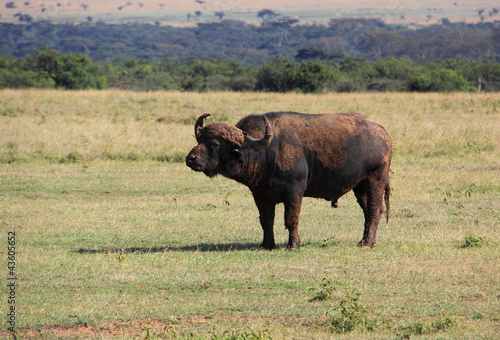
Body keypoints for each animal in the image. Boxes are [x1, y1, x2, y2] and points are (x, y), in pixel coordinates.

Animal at [186, 111, 392, 250]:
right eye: (199, 140)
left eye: (214, 144)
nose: (190, 159)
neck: (268, 152)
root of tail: (383, 134)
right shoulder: (260, 195)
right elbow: (266, 220)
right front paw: (266, 245)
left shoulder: (294, 192)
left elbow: (291, 218)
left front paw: (293, 244)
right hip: (360, 186)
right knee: (369, 211)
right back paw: (365, 240)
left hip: (376, 179)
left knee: (374, 210)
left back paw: (367, 243)